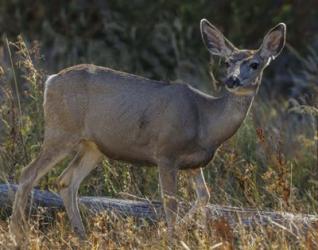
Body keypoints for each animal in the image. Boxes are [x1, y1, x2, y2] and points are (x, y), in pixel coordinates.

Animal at [9, 19, 286, 244]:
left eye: (255, 64)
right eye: (227, 62)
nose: (232, 80)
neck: (205, 121)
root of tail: (50, 81)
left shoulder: (195, 163)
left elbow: (204, 196)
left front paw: (171, 232)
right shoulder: (166, 152)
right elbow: (171, 203)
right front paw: (171, 237)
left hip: (93, 146)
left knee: (66, 181)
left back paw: (82, 236)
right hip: (61, 131)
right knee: (27, 173)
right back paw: (19, 235)